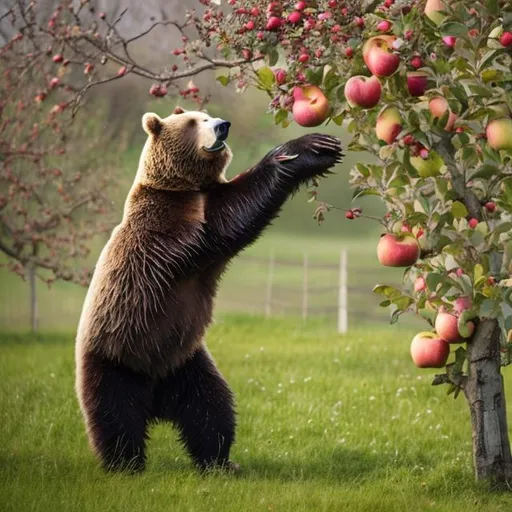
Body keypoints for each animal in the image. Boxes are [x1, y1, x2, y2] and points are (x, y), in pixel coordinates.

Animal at [76, 108, 342, 472]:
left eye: (207, 114)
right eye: (194, 121)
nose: (222, 125)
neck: (186, 186)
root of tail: (156, 400)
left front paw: (323, 147)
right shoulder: (171, 228)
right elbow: (230, 216)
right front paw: (307, 147)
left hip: (185, 362)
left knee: (210, 408)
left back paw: (220, 462)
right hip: (117, 355)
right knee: (116, 415)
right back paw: (126, 464)